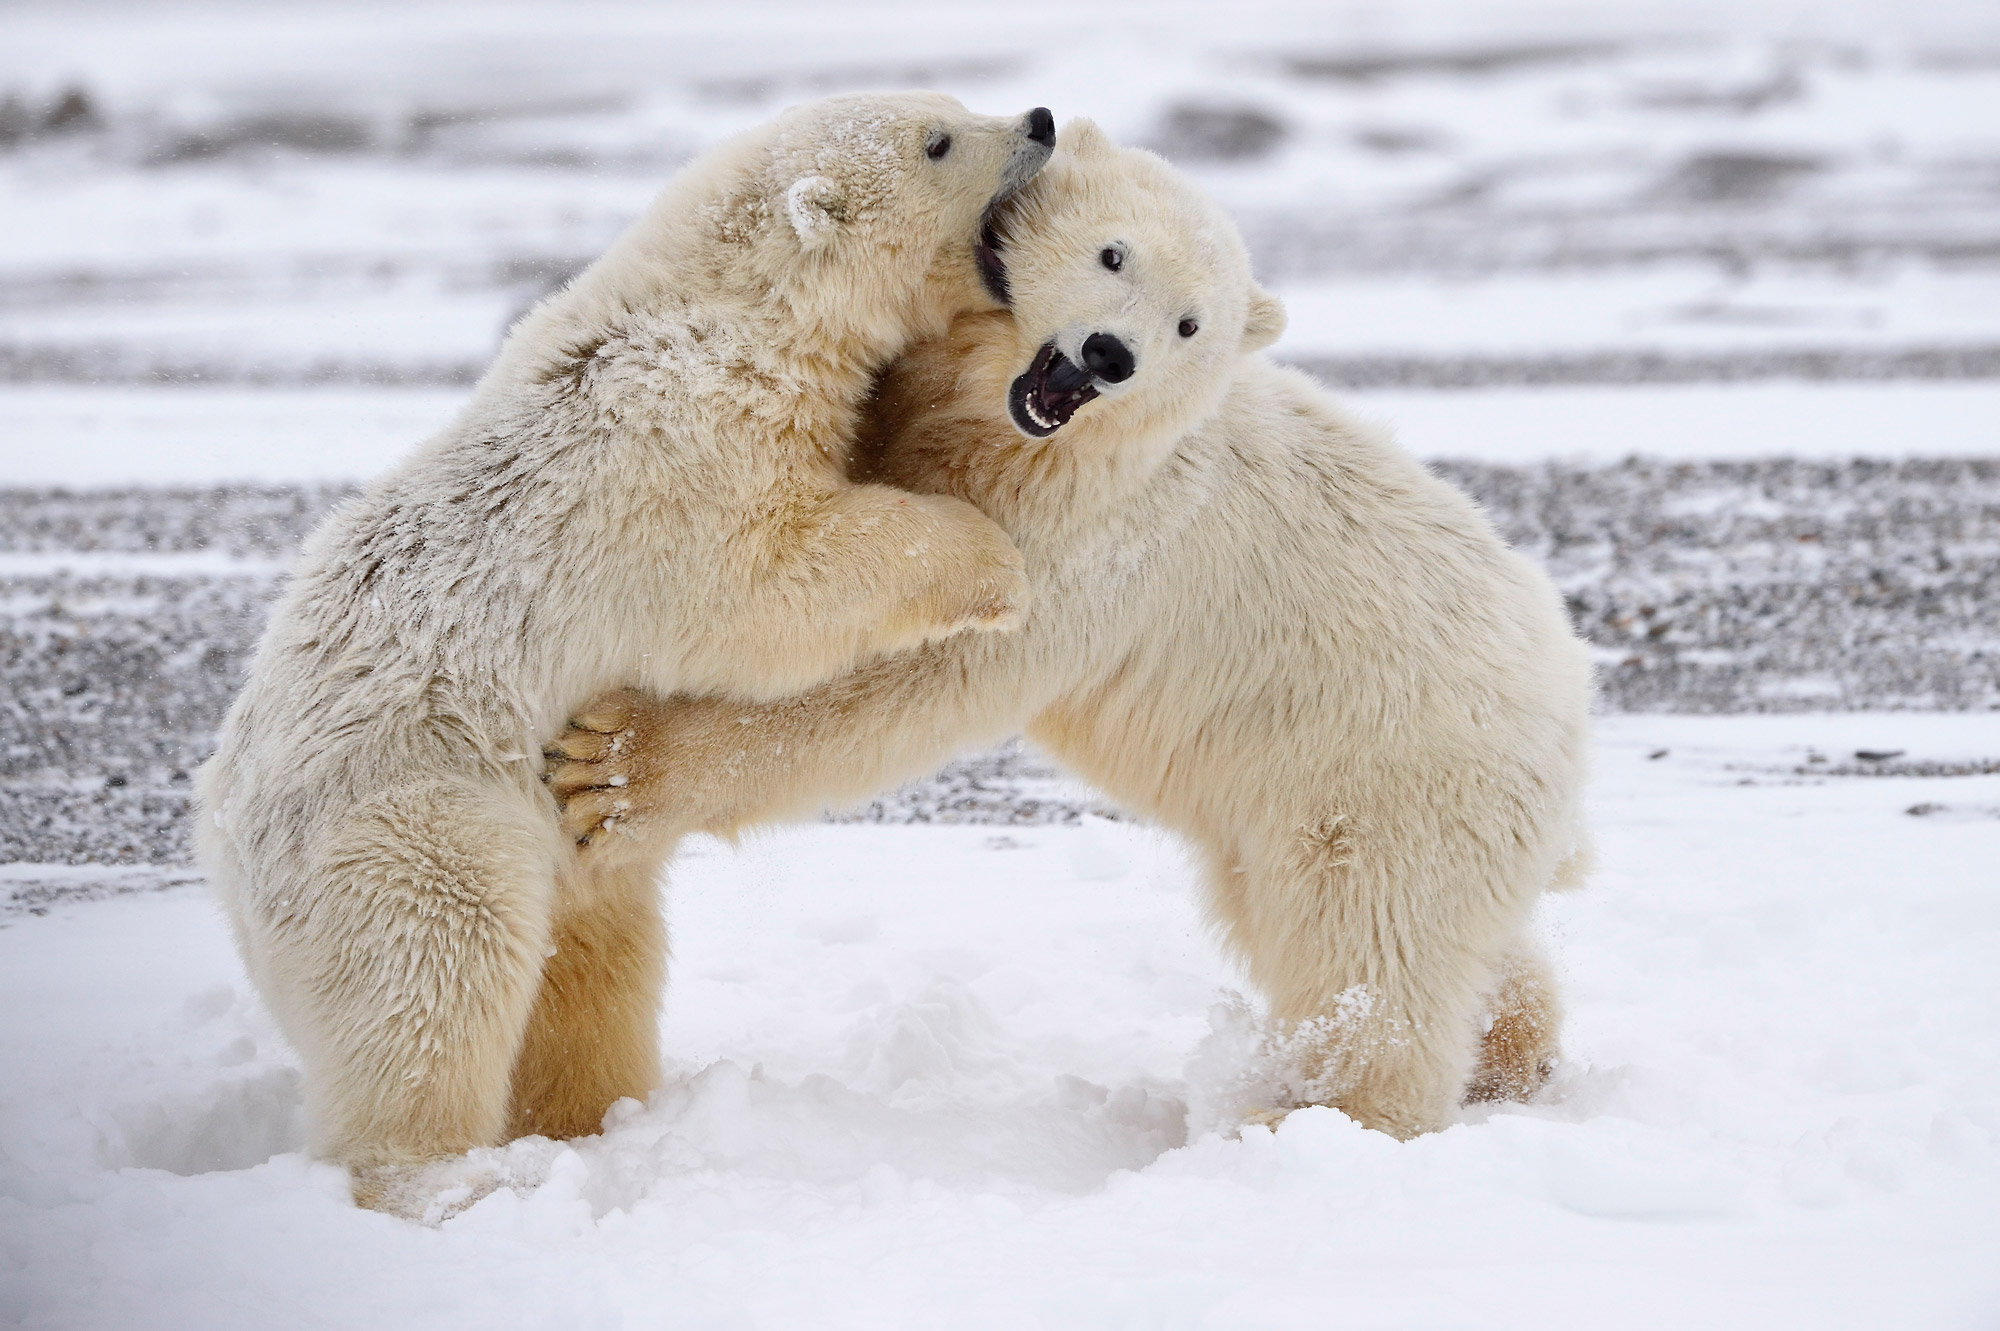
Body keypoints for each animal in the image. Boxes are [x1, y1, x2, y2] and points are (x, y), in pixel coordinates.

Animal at [194, 92, 1057, 1211]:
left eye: (951, 105)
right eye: (938, 141)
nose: (1040, 120)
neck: (735, 306)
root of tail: (220, 833)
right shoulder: (678, 448)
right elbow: (767, 586)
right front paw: (991, 561)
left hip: (557, 849)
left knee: (593, 966)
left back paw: (594, 1122)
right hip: (405, 813)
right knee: (439, 969)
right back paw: (447, 1175)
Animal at [544, 119, 1595, 1141]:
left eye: (1190, 324)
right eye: (1112, 253)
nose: (1108, 356)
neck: (1025, 441)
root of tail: (1570, 707)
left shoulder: (1094, 550)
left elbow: (905, 682)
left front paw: (612, 767)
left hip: (1387, 767)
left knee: (1367, 939)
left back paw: (1311, 1110)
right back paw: (1514, 1045)